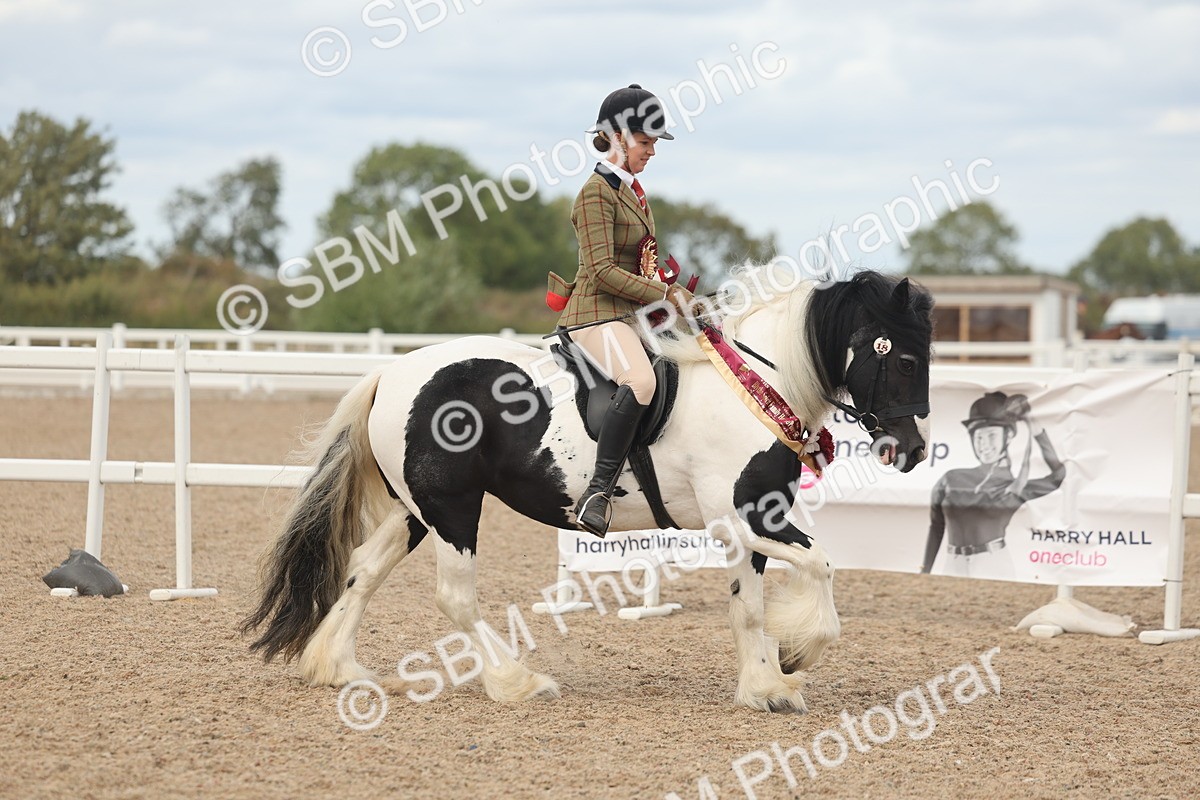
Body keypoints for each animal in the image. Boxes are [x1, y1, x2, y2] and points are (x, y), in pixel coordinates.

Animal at [241, 267, 934, 713]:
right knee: (454, 597)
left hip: (419, 511)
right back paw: (516, 682)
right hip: (454, 510)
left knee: (363, 568)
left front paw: (765, 686)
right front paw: (794, 656)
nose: (913, 450)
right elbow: (820, 567)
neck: (757, 387)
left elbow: (750, 605)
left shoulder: (754, 520)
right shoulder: (741, 519)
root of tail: (392, 372)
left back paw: (337, 667)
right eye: (902, 358)